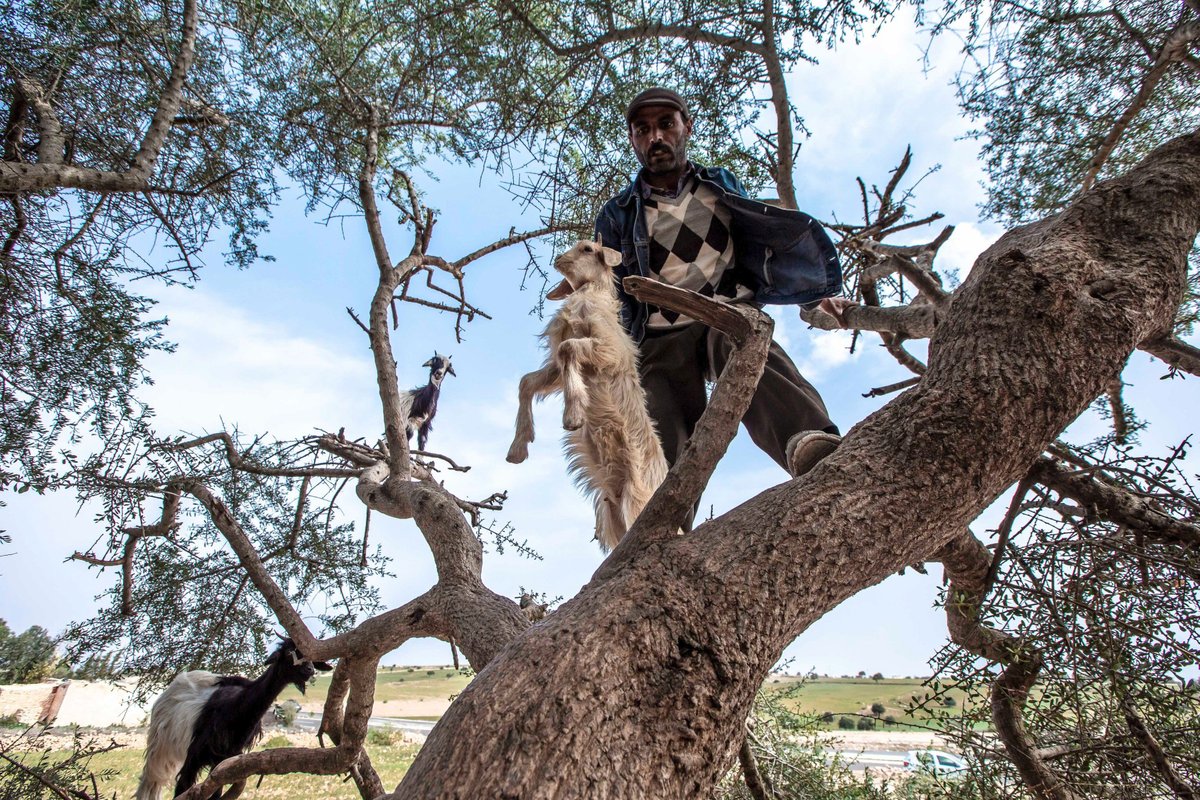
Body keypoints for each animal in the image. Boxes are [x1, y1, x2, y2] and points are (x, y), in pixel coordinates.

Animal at [136, 638, 331, 800]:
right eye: (290, 652)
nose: (310, 670)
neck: (235, 710)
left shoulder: (224, 762)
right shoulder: (194, 756)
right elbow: (182, 788)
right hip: (159, 746)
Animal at [506, 239, 672, 551]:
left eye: (587, 249)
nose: (558, 260)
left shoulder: (607, 350)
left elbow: (568, 348)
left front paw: (573, 416)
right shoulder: (556, 368)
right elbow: (528, 382)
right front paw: (518, 448)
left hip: (637, 499)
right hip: (612, 512)